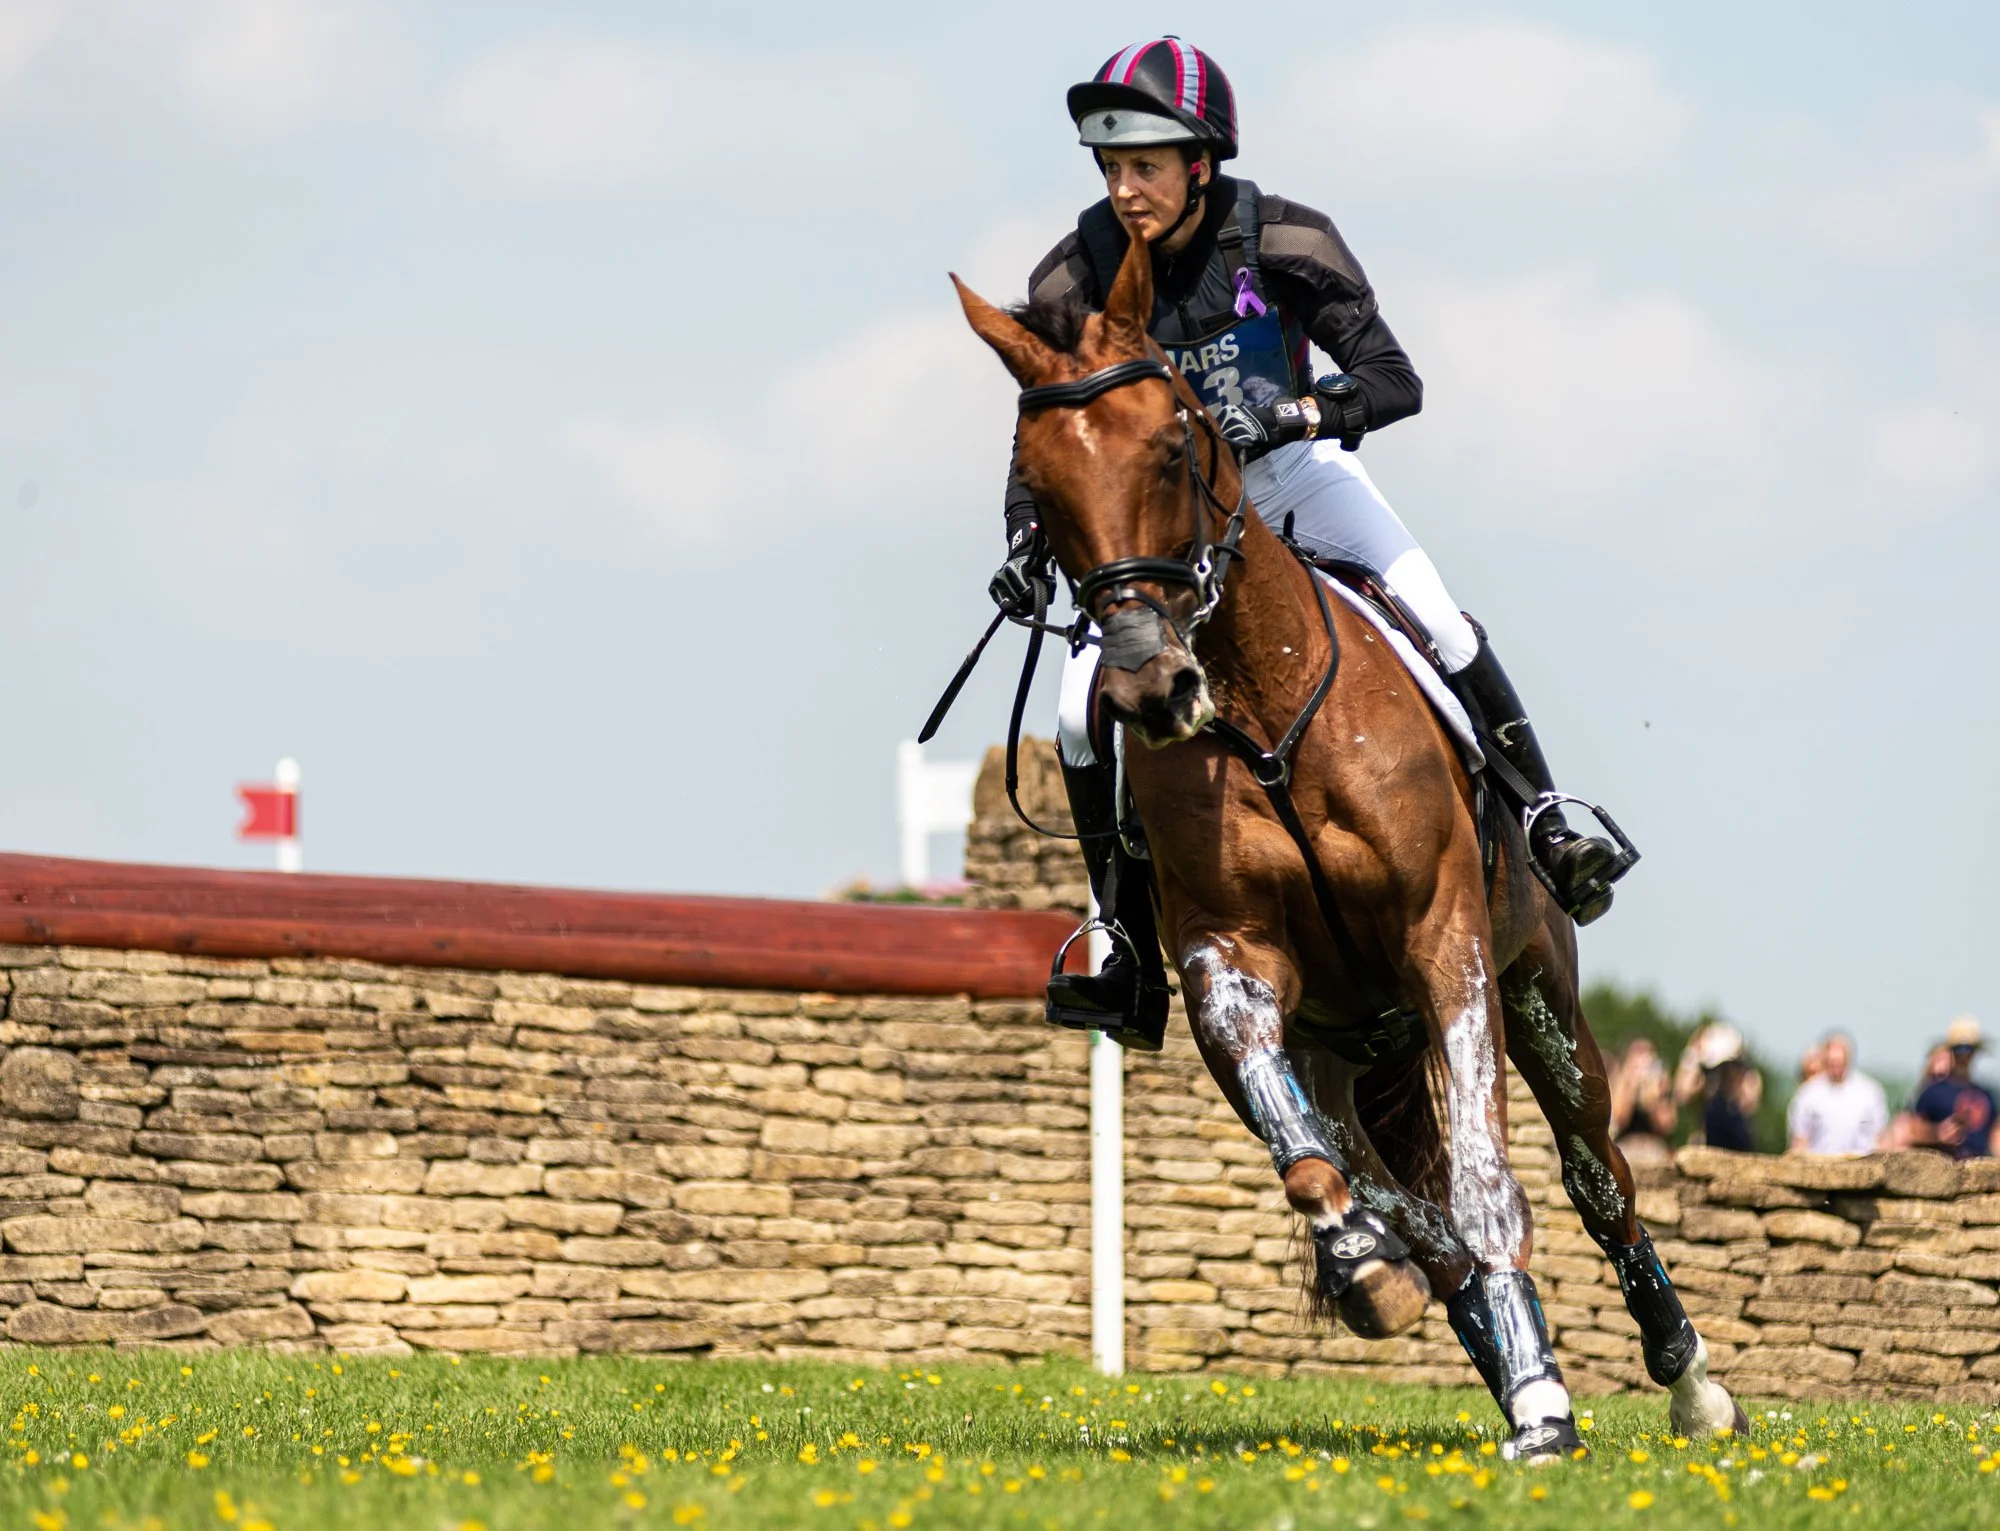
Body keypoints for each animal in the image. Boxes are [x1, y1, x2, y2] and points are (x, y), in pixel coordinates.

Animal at [951, 232, 1747, 1460]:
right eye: (1038, 487)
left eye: (1175, 444)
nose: (1145, 685)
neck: (1260, 703)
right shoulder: (1228, 963)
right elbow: (1335, 1171)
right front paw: (1372, 1273)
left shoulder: (1445, 940)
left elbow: (1487, 1178)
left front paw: (1553, 1406)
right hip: (1346, 1051)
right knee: (1412, 1208)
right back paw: (1502, 1355)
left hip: (1539, 990)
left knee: (1594, 1176)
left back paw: (1683, 1382)